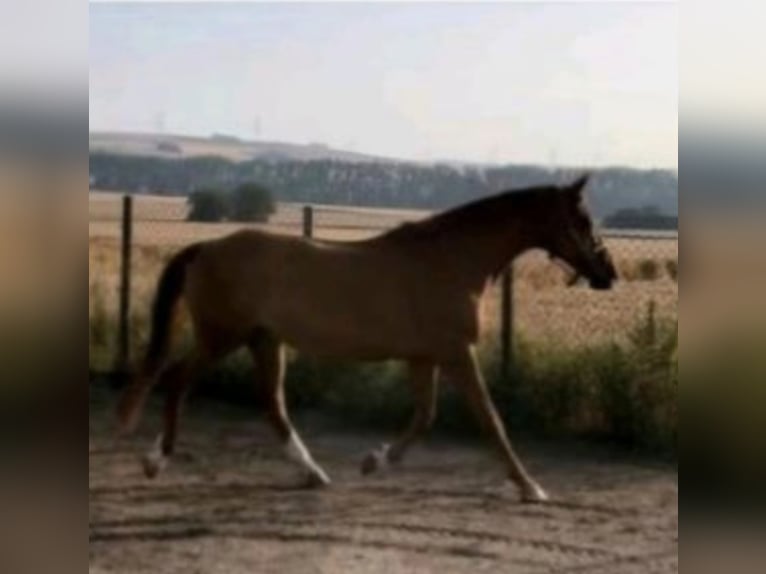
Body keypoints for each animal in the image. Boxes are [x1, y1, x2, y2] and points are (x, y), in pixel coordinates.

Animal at [115, 174, 616, 504]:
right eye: (582, 218)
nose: (608, 273)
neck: (451, 260)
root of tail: (208, 247)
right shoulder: (457, 353)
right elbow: (491, 420)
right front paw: (531, 486)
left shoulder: (424, 357)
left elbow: (425, 416)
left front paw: (374, 460)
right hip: (223, 336)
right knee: (178, 381)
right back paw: (156, 460)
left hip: (264, 341)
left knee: (272, 405)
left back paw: (313, 473)